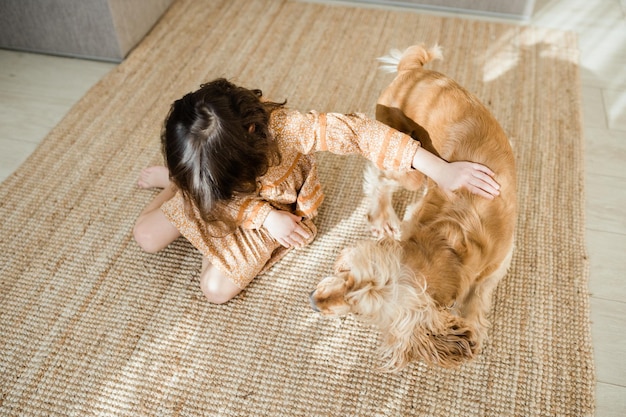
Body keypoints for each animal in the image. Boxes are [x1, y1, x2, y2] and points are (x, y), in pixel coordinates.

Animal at [308, 44, 516, 370]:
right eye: (345, 275)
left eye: (360, 311)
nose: (314, 302)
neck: (449, 251)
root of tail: (412, 70)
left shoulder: (501, 260)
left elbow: (480, 295)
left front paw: (473, 327)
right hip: (412, 168)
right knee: (379, 175)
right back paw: (382, 216)